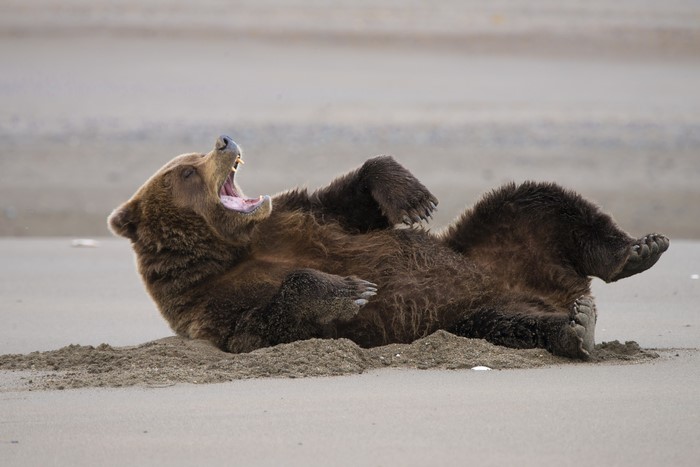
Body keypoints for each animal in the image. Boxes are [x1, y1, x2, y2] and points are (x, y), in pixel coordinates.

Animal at [108, 135, 669, 359]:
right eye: (185, 170)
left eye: (194, 154)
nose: (225, 140)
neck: (232, 247)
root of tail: (554, 287)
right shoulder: (209, 304)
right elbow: (257, 327)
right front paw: (352, 291)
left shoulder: (295, 218)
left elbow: (351, 201)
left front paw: (413, 198)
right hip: (474, 314)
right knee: (511, 324)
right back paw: (574, 329)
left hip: (499, 242)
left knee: (537, 200)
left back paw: (638, 251)